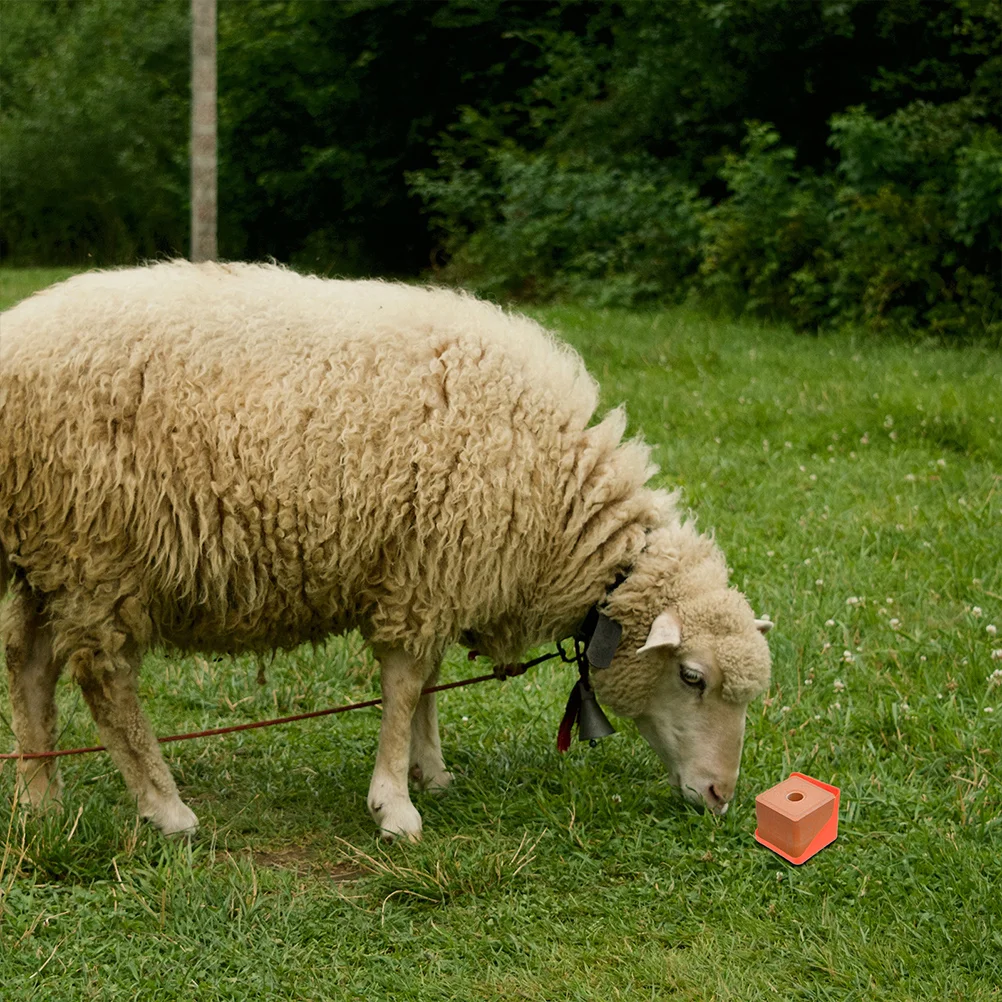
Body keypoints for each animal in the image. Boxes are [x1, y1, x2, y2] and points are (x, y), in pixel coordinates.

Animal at [0, 262, 773, 841]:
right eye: (693, 677)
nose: (721, 796)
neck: (560, 508)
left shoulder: (434, 570)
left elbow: (425, 681)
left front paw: (431, 771)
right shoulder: (427, 569)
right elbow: (404, 684)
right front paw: (395, 805)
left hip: (41, 558)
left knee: (29, 666)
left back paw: (41, 799)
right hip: (93, 551)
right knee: (105, 681)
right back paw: (164, 808)